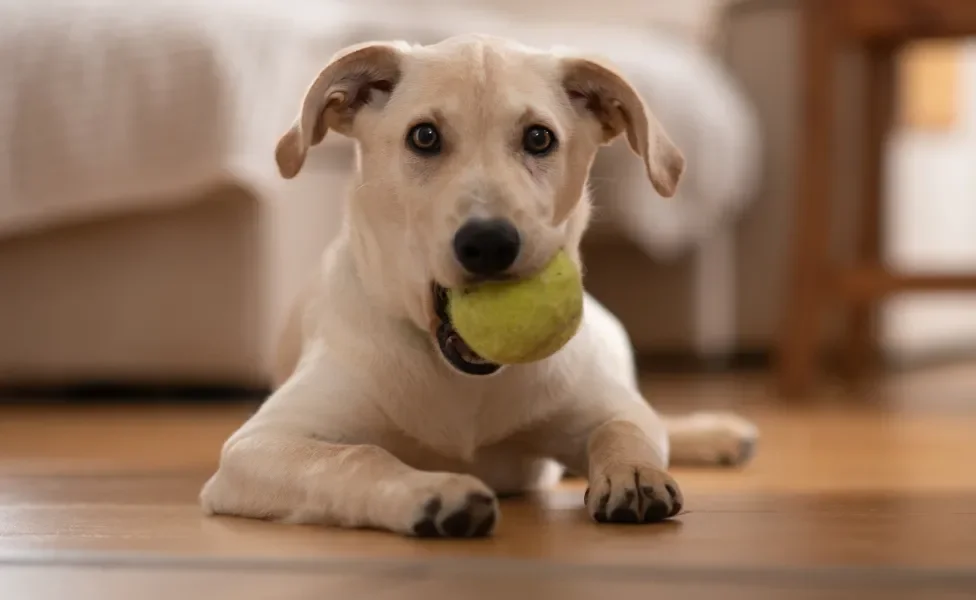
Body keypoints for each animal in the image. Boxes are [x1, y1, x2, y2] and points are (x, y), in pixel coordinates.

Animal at [198, 35, 760, 536]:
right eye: (424, 136)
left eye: (539, 138)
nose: (489, 243)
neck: (462, 381)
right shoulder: (259, 444)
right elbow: (357, 457)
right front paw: (431, 493)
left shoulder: (604, 407)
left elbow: (625, 428)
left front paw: (636, 473)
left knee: (656, 417)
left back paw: (719, 432)